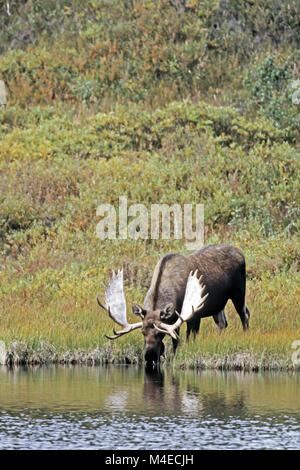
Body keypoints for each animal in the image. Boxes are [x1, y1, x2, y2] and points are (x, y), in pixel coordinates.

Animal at [97, 246, 250, 368]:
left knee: (244, 314)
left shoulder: (193, 315)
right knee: (223, 323)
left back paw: (245, 335)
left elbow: (187, 339)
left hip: (239, 292)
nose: (149, 356)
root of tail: (241, 253)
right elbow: (175, 340)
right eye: (142, 332)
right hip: (219, 306)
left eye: (160, 333)